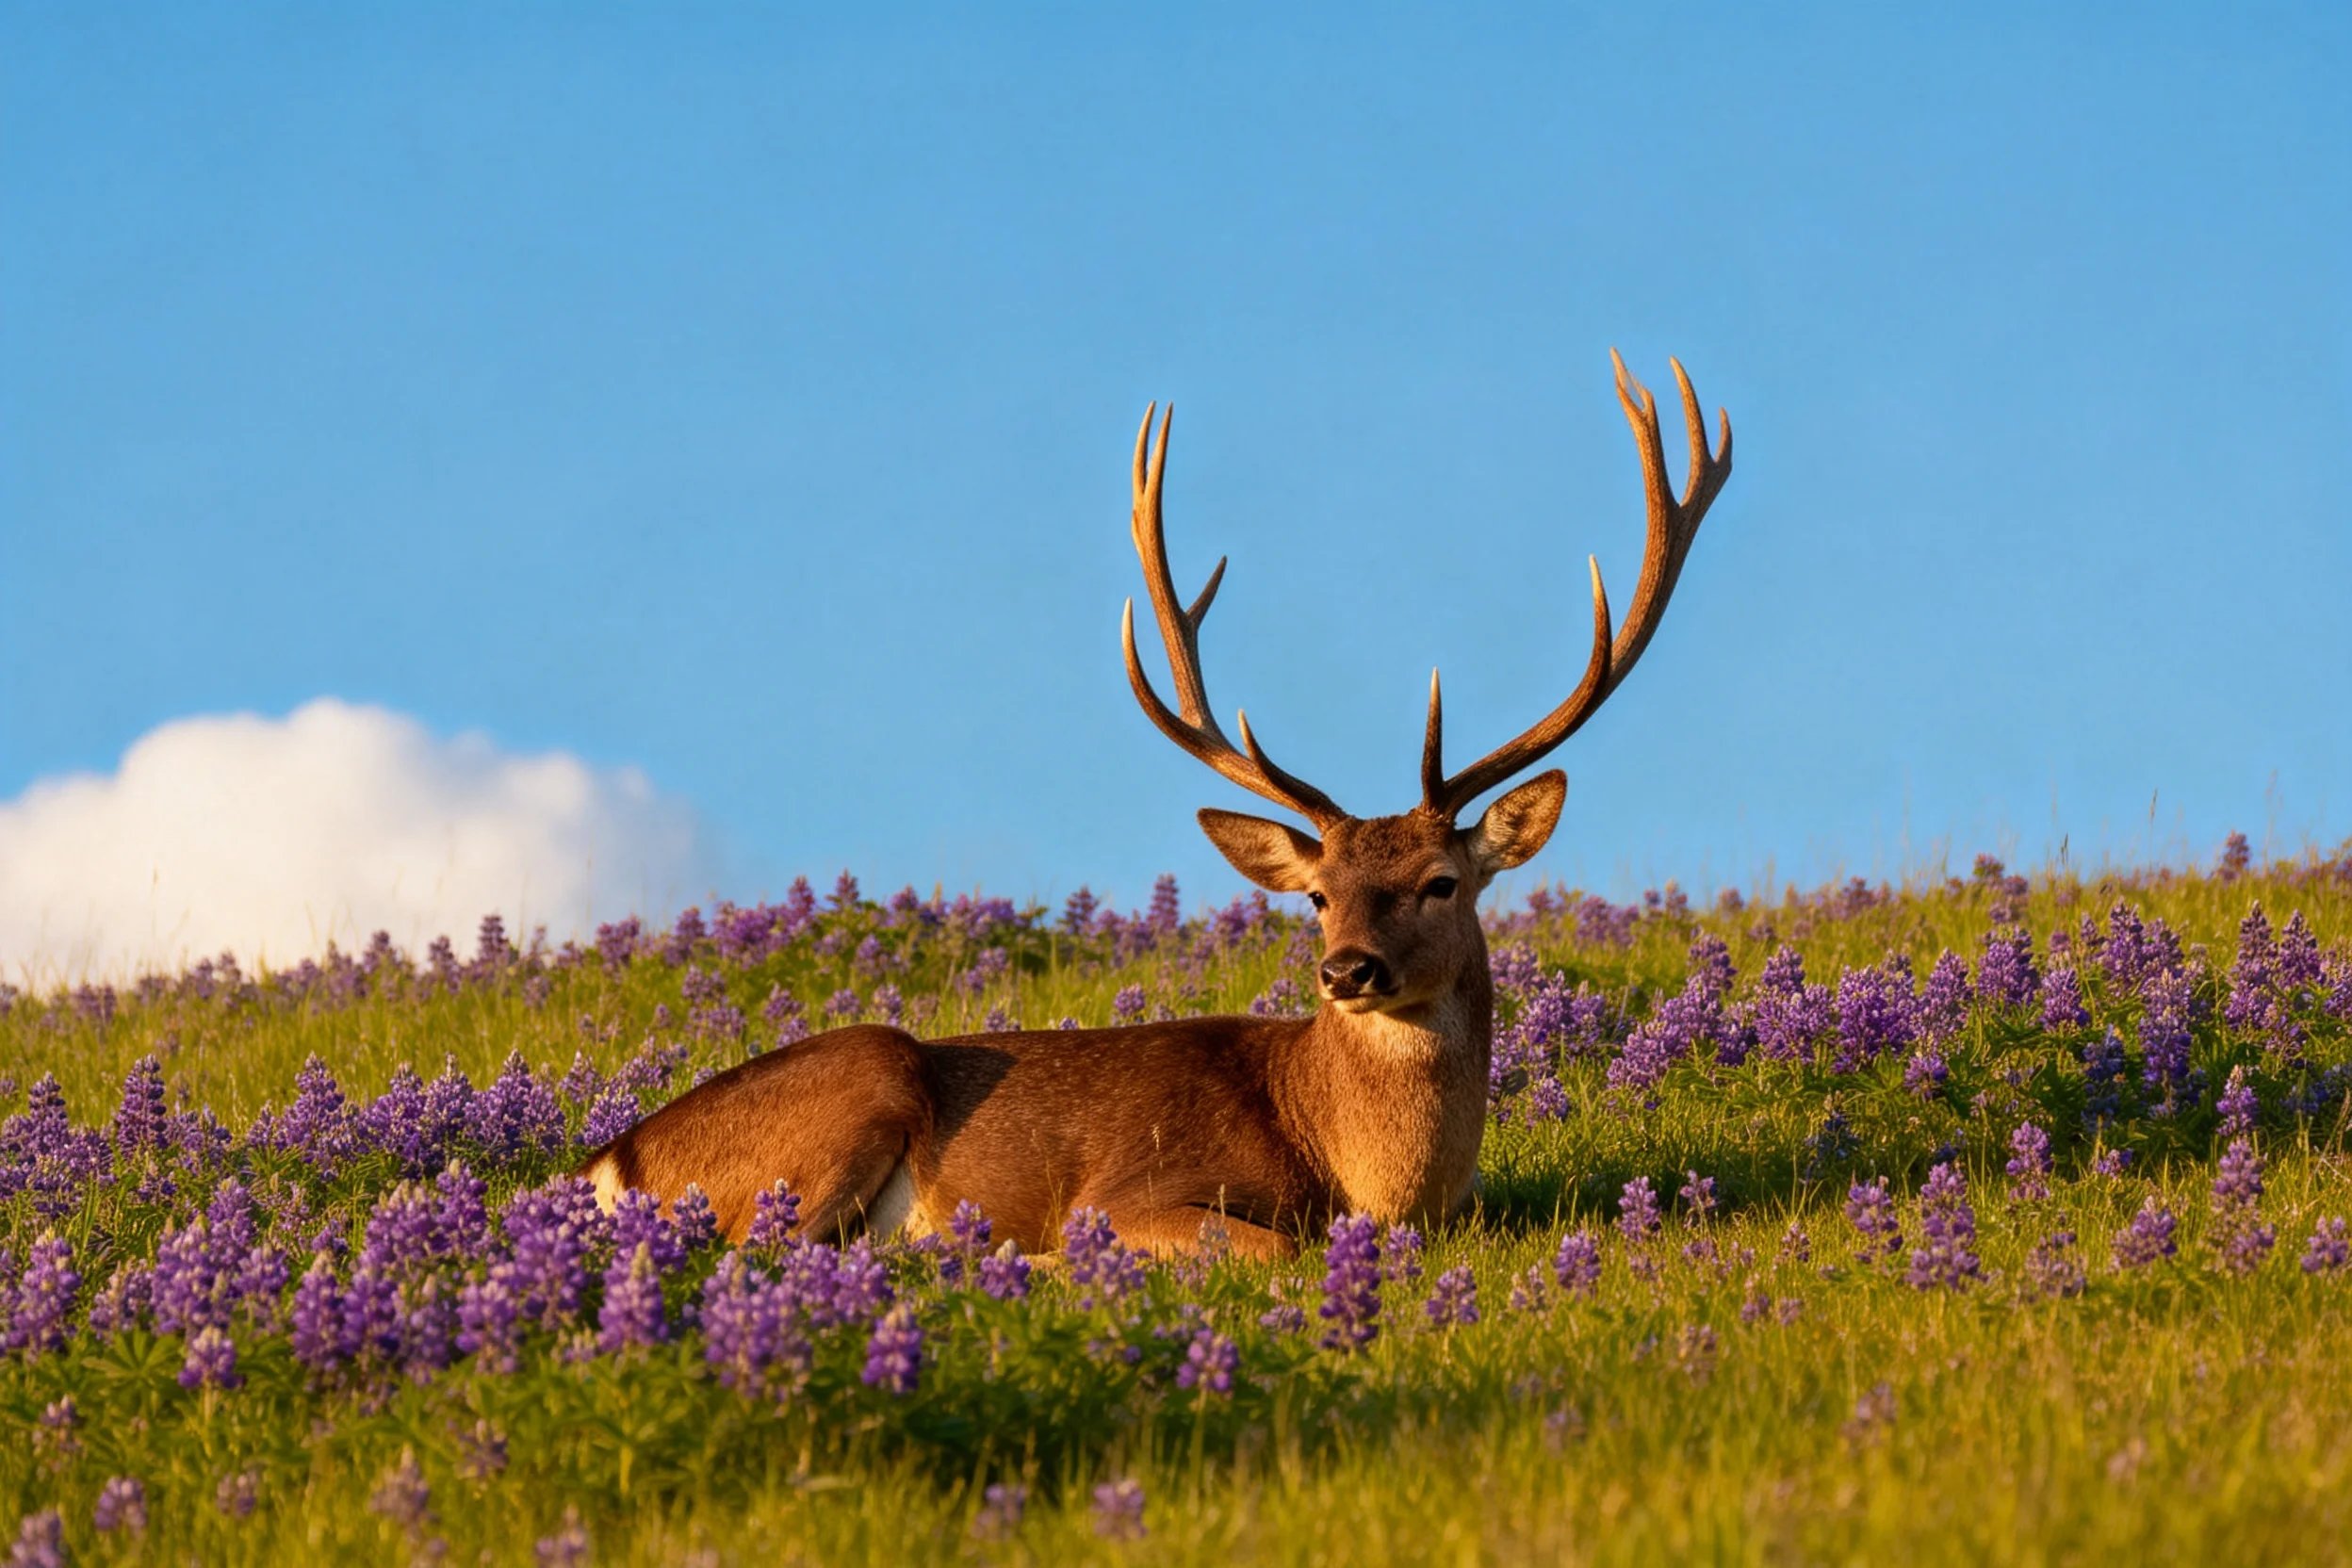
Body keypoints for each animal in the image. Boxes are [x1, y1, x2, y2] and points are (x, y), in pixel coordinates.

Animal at [580, 351, 1731, 1260]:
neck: (1371, 1181)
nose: (1346, 971)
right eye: (1317, 895)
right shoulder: (1133, 1192)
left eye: (1440, 881)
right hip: (858, 1089)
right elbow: (1268, 1248)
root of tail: (612, 1160)